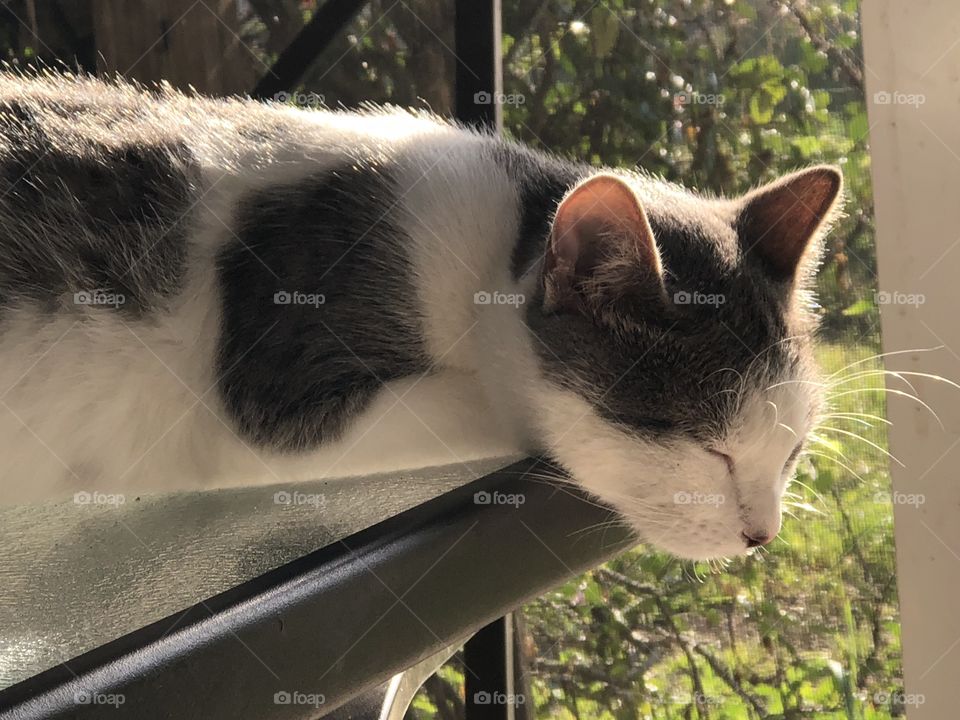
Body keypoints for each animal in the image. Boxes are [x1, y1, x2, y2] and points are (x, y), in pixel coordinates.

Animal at [0, 70, 840, 560]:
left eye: (792, 451)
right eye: (711, 450)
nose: (763, 536)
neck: (493, 246)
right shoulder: (268, 398)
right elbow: (503, 403)